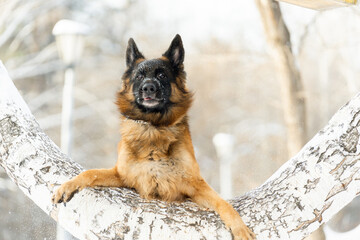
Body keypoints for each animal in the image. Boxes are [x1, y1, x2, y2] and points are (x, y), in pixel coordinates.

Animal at [52, 34, 256, 240]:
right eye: (139, 76)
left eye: (162, 75)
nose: (148, 88)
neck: (152, 128)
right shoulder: (122, 176)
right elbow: (90, 172)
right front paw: (68, 185)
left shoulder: (194, 185)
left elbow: (223, 202)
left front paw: (239, 228)